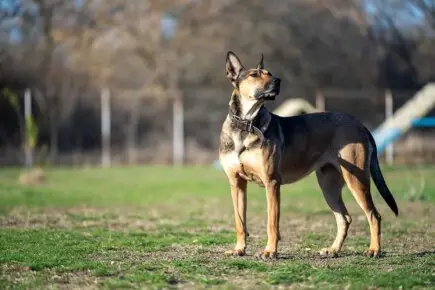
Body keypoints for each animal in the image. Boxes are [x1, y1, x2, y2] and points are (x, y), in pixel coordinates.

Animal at [220, 51, 400, 260]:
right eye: (254, 74)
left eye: (269, 73)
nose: (278, 80)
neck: (246, 123)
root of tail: (359, 124)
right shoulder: (236, 183)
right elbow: (239, 221)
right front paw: (239, 249)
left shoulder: (271, 182)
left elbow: (272, 222)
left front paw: (270, 251)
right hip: (328, 185)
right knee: (344, 218)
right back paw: (333, 250)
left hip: (357, 180)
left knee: (373, 215)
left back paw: (374, 250)